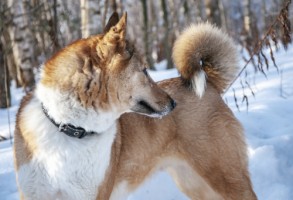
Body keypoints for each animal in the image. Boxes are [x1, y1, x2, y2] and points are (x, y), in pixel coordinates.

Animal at [13, 12, 256, 200]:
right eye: (145, 71)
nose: (173, 103)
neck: (70, 128)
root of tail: (210, 84)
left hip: (227, 178)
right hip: (193, 182)